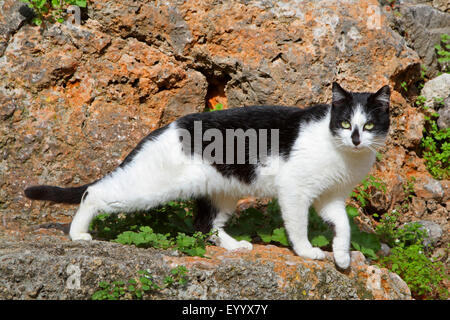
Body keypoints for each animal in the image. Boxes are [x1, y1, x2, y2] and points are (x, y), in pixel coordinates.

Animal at [25, 82, 390, 270]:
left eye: (370, 125)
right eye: (346, 122)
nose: (356, 138)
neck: (344, 154)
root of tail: (163, 129)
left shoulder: (331, 198)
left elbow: (343, 225)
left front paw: (342, 255)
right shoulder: (295, 191)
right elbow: (298, 226)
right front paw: (307, 252)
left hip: (222, 192)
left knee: (205, 225)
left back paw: (234, 245)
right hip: (148, 187)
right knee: (95, 193)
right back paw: (78, 234)